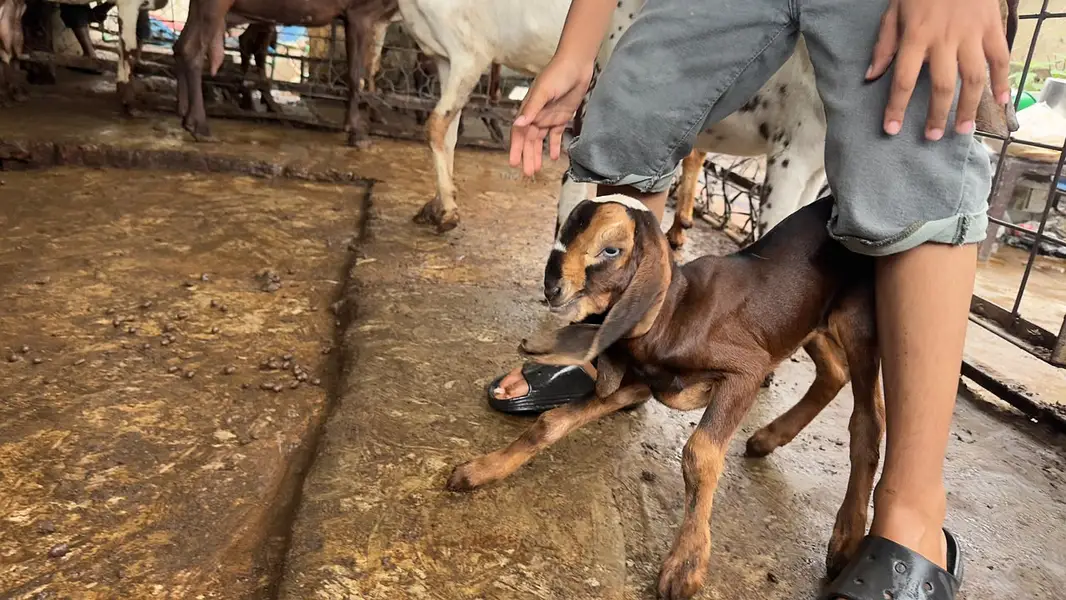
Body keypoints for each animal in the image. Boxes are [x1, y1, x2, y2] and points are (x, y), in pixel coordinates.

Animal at [174, 0, 397, 145]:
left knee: (181, 45)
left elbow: (369, 67)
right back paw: (200, 125)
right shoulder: (361, 13)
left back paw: (185, 112)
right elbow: (356, 73)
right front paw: (357, 131)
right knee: (193, 49)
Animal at [448, 194, 883, 600]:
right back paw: (768, 438)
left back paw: (845, 540)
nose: (553, 288)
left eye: (611, 250)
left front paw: (686, 564)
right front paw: (481, 469)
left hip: (859, 320)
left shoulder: (746, 370)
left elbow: (699, 453)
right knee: (834, 371)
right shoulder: (638, 382)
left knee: (867, 417)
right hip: (811, 320)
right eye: (567, 234)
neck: (675, 314)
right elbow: (553, 421)